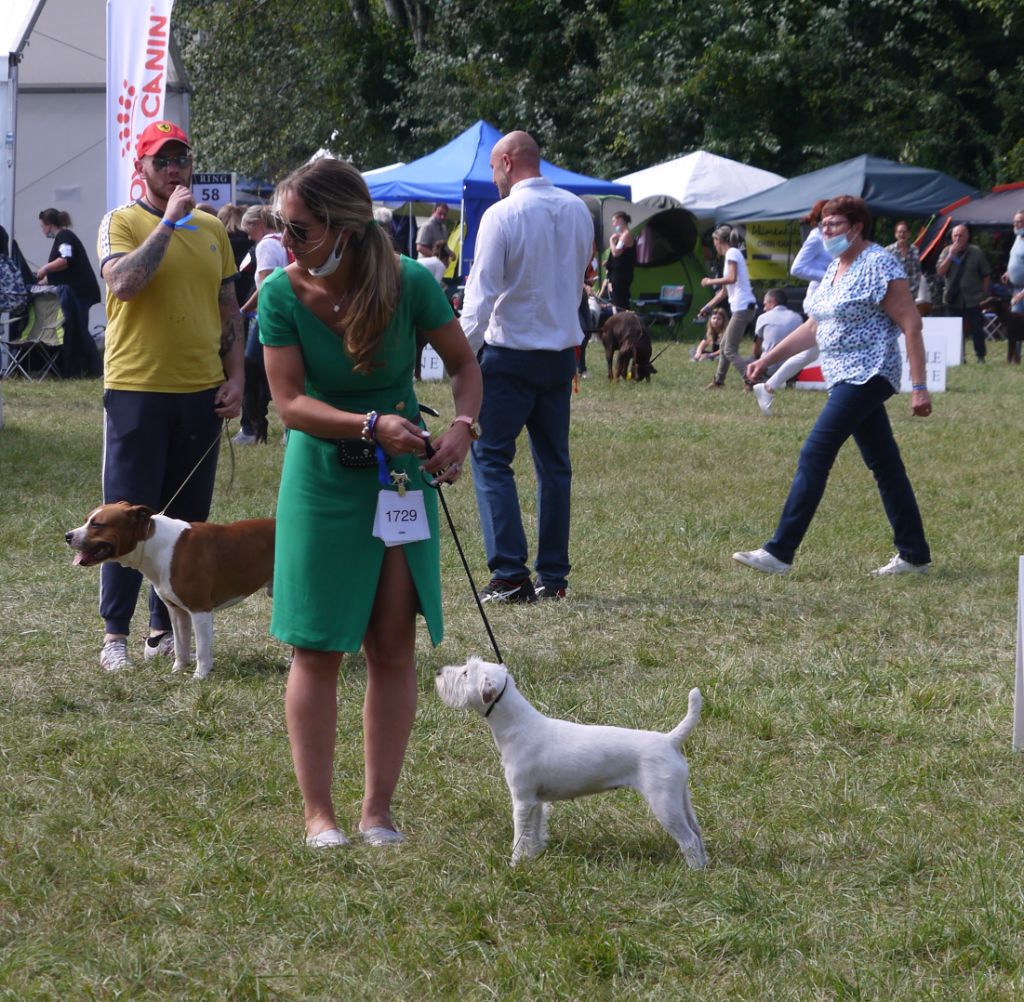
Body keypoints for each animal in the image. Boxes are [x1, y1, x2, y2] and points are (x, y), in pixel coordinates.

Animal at [66, 502, 275, 679]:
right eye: (86, 520)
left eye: (97, 524)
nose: (67, 535)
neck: (154, 544)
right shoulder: (177, 611)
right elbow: (181, 646)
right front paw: (177, 671)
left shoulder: (200, 610)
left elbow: (202, 649)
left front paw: (200, 677)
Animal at [435, 656, 707, 867]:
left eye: (466, 673)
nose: (438, 672)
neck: (517, 725)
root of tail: (670, 739)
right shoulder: (535, 802)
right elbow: (534, 832)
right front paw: (533, 857)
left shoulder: (522, 799)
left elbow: (520, 836)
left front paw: (515, 865)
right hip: (680, 798)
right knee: (697, 831)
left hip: (664, 803)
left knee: (688, 839)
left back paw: (693, 871)